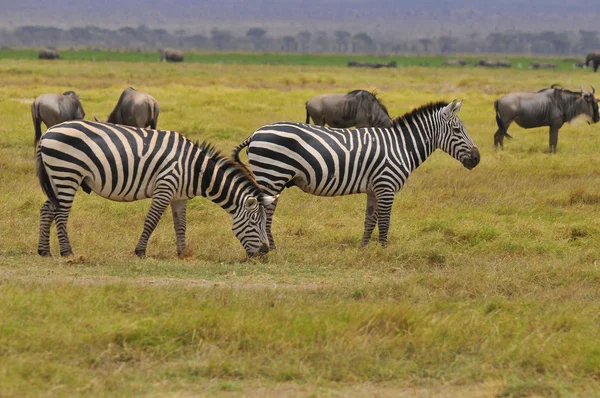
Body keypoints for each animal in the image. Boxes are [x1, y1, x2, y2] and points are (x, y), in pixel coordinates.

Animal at [33, 121, 276, 258]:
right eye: (255, 222)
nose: (264, 253)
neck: (196, 170)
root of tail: (48, 132)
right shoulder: (165, 187)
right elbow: (151, 220)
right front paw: (140, 251)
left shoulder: (180, 196)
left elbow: (181, 225)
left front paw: (182, 253)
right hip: (67, 173)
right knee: (61, 214)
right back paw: (67, 252)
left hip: (57, 176)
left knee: (47, 209)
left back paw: (44, 251)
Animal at [232, 99, 480, 249]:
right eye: (457, 130)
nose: (477, 159)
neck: (401, 146)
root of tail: (256, 133)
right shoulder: (386, 185)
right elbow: (385, 221)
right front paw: (384, 251)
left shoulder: (374, 189)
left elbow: (370, 220)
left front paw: (364, 249)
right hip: (272, 175)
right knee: (265, 212)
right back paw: (273, 248)